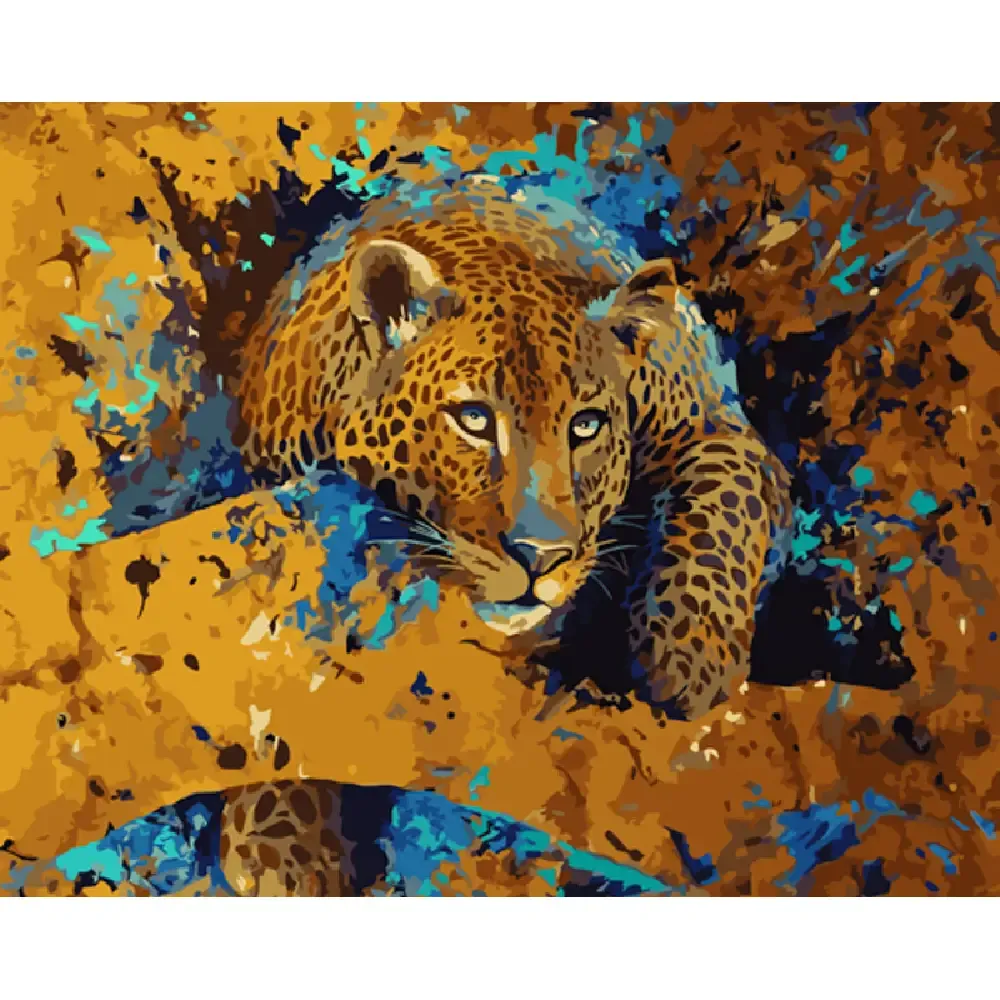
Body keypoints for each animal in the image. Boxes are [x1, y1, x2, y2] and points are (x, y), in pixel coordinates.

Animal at [219, 175, 792, 895]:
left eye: (586, 425)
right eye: (472, 418)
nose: (540, 556)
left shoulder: (717, 428)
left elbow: (720, 496)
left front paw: (687, 663)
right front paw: (279, 845)